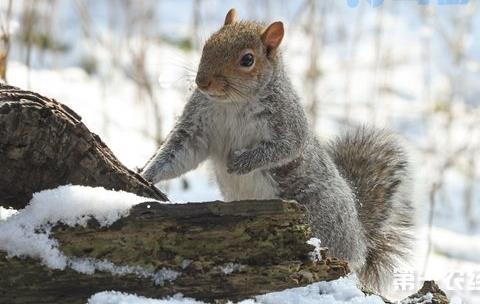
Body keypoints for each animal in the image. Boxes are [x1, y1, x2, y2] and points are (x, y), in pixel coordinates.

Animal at [141, 8, 414, 290]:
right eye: (207, 45)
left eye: (247, 59)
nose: (201, 82)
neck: (233, 102)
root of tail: (359, 239)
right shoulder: (197, 123)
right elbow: (180, 152)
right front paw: (146, 175)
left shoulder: (287, 121)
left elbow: (284, 148)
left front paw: (241, 162)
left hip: (316, 216)